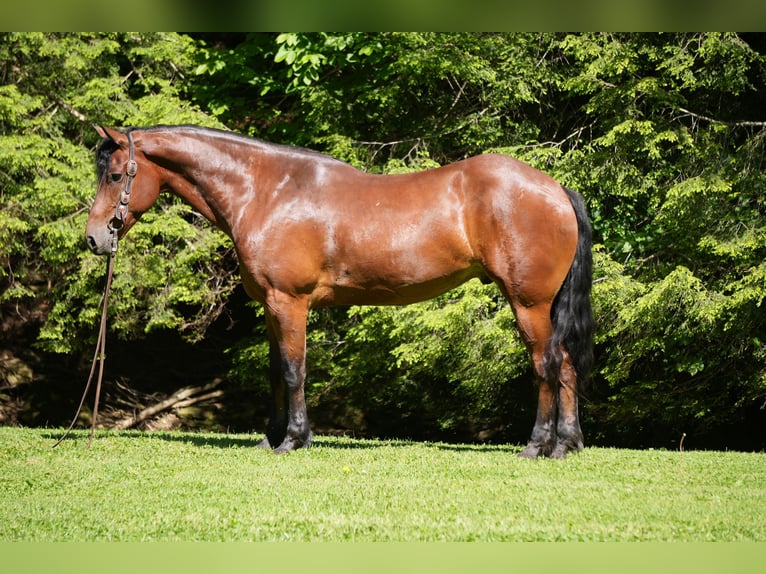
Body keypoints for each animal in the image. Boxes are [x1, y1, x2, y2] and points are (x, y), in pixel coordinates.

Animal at [86, 125, 593, 458]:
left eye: (114, 175)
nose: (93, 239)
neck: (266, 191)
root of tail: (555, 189)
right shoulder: (271, 307)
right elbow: (276, 372)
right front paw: (271, 437)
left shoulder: (290, 301)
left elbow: (295, 372)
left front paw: (293, 440)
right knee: (567, 365)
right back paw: (566, 445)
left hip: (528, 303)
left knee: (546, 365)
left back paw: (536, 445)